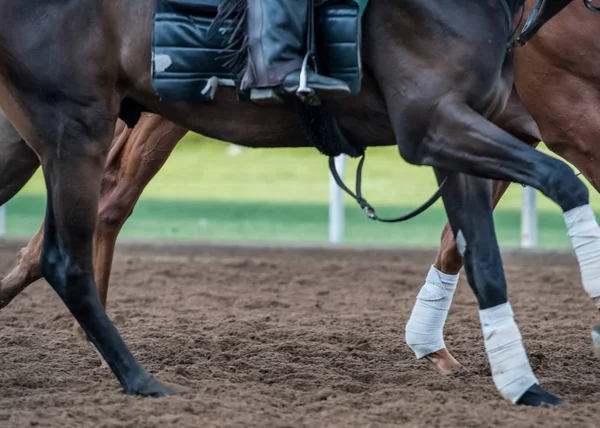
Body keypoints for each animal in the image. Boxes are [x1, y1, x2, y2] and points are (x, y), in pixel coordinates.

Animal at [0, 0, 592, 404]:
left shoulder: (464, 130)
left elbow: (480, 254)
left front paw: (521, 385)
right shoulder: (453, 122)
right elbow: (564, 183)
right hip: (78, 123)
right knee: (73, 248)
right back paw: (139, 378)